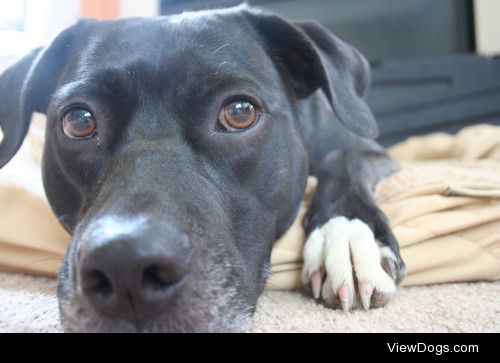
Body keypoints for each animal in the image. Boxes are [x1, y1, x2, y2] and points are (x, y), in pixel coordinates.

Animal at [0, 4, 406, 332]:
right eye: (79, 121)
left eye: (240, 112)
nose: (126, 265)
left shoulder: (369, 150)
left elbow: (344, 161)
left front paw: (348, 235)